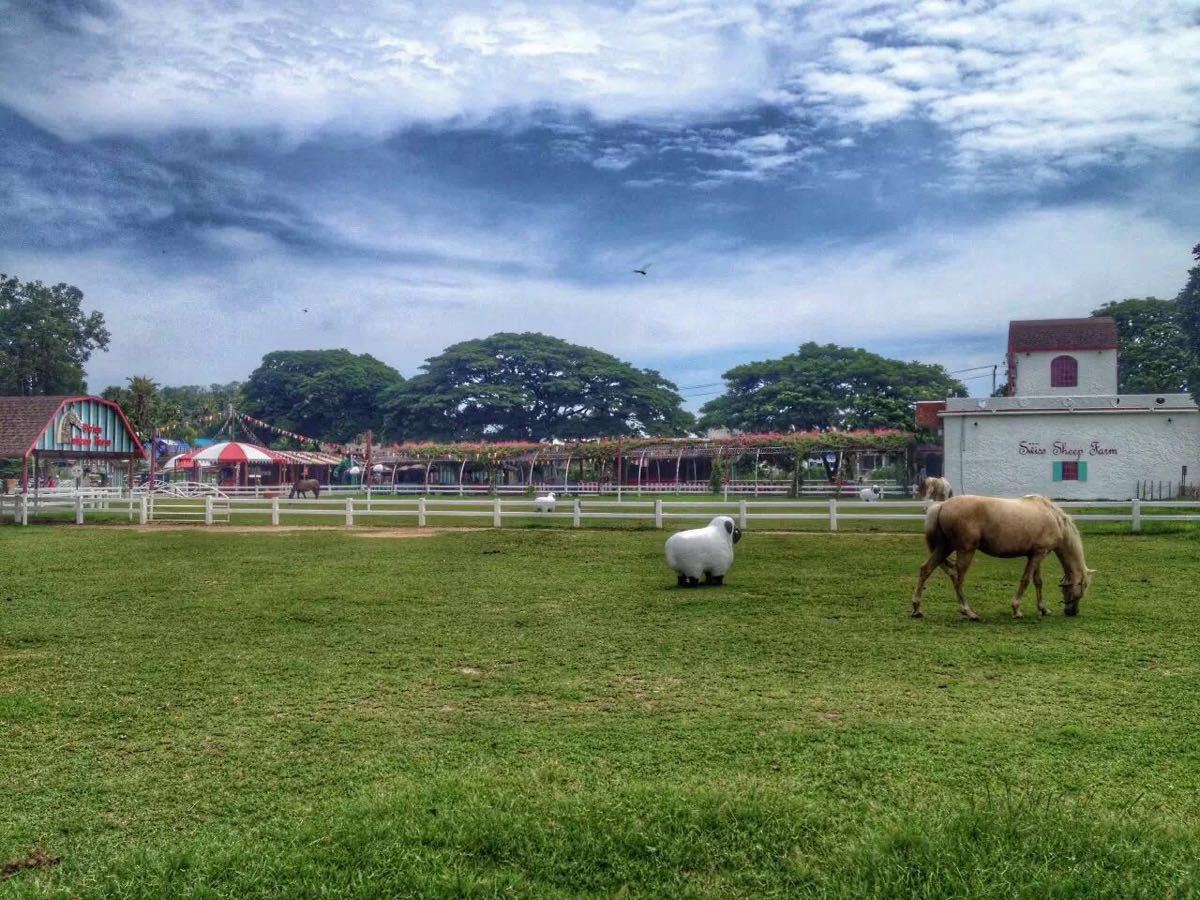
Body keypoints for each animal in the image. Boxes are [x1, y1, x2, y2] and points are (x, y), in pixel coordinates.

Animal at [907, 496, 1099, 624]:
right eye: (1082, 588)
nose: (1072, 611)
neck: (1053, 518)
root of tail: (942, 505)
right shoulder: (1039, 554)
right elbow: (1026, 580)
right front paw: (1016, 609)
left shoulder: (1035, 555)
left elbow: (1038, 582)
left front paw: (1043, 609)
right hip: (965, 551)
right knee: (958, 578)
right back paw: (968, 612)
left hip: (943, 547)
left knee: (925, 569)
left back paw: (917, 609)